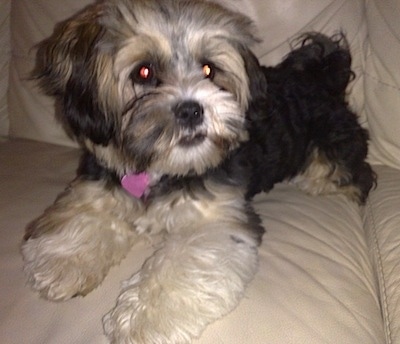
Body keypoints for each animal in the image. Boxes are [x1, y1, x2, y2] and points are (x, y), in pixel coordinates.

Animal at [20, 0, 376, 342]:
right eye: (144, 72)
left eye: (208, 69)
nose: (191, 110)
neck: (162, 168)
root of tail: (321, 78)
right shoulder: (100, 185)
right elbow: (84, 218)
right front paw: (64, 263)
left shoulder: (215, 221)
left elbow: (180, 267)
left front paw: (142, 319)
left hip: (335, 150)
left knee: (357, 177)